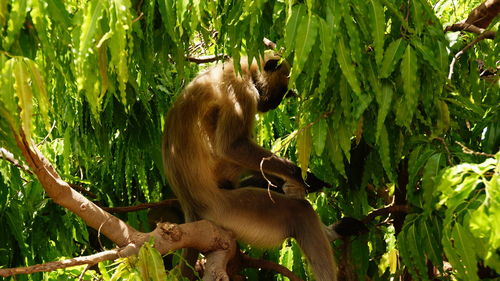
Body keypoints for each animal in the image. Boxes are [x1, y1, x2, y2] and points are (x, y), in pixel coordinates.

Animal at [163, 52, 336, 280]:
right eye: (282, 91)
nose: (275, 104)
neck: (245, 69)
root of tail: (190, 206)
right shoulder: (241, 91)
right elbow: (232, 147)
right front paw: (300, 176)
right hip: (228, 209)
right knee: (300, 212)